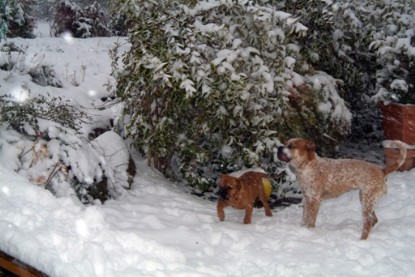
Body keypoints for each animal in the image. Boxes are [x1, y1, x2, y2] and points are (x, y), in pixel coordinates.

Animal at [278, 138, 408, 239]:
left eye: (291, 146)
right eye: (285, 143)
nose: (279, 147)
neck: (306, 167)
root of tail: (382, 170)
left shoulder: (315, 199)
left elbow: (310, 220)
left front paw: (309, 233)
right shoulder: (306, 198)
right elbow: (304, 217)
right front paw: (302, 229)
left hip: (367, 201)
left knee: (368, 223)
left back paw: (361, 241)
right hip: (365, 199)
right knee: (374, 220)